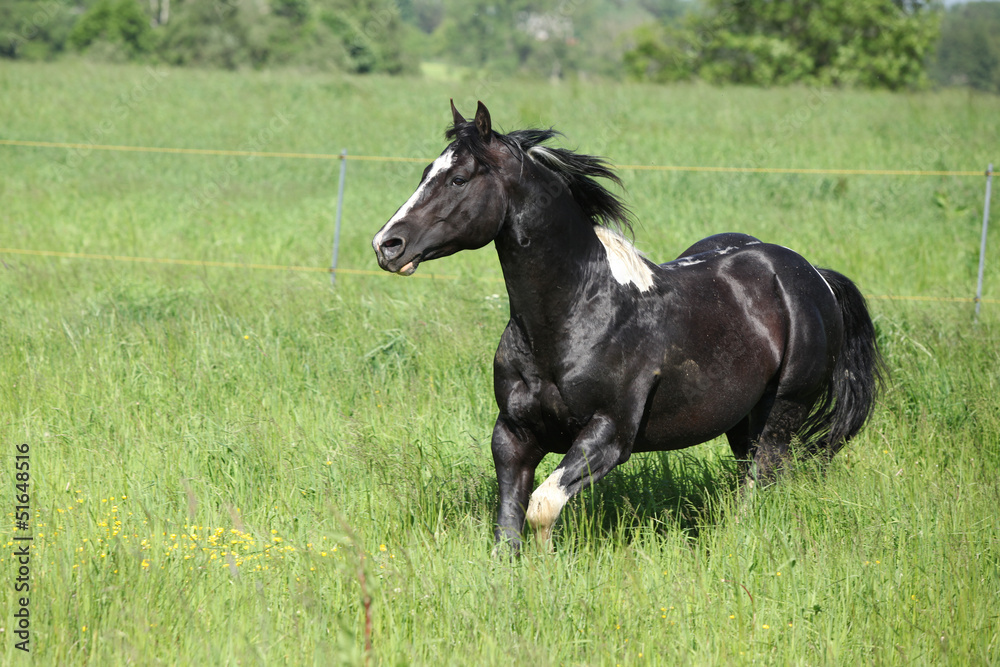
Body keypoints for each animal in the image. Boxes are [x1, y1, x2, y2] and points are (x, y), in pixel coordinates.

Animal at [372, 100, 884, 552]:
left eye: (459, 178)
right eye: (426, 173)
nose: (386, 245)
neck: (577, 315)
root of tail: (814, 276)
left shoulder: (609, 435)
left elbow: (542, 506)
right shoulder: (513, 433)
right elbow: (509, 523)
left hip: (781, 415)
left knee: (761, 485)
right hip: (743, 421)